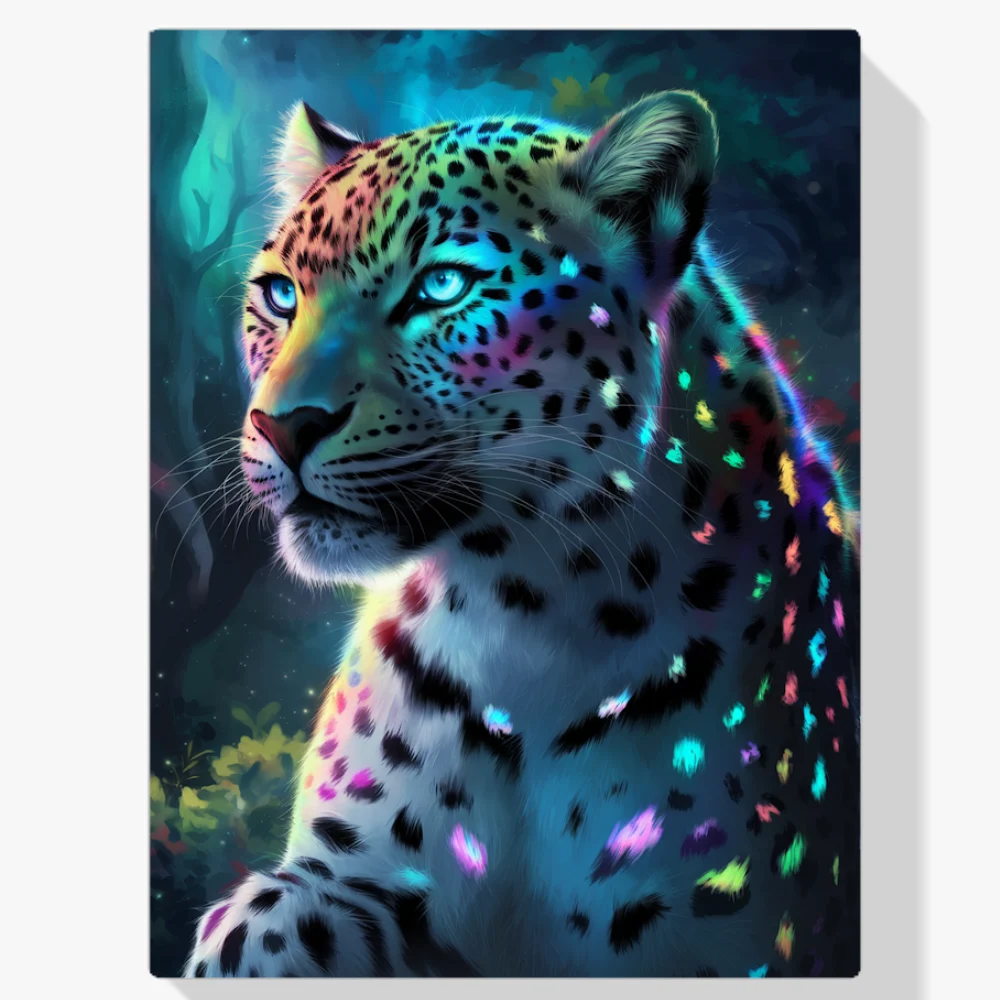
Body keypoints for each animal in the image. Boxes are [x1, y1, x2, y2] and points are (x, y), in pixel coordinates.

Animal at [184, 90, 860, 978]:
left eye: (442, 287)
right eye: (281, 296)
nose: (282, 425)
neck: (523, 608)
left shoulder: (738, 943)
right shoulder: (356, 874)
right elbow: (260, 925)